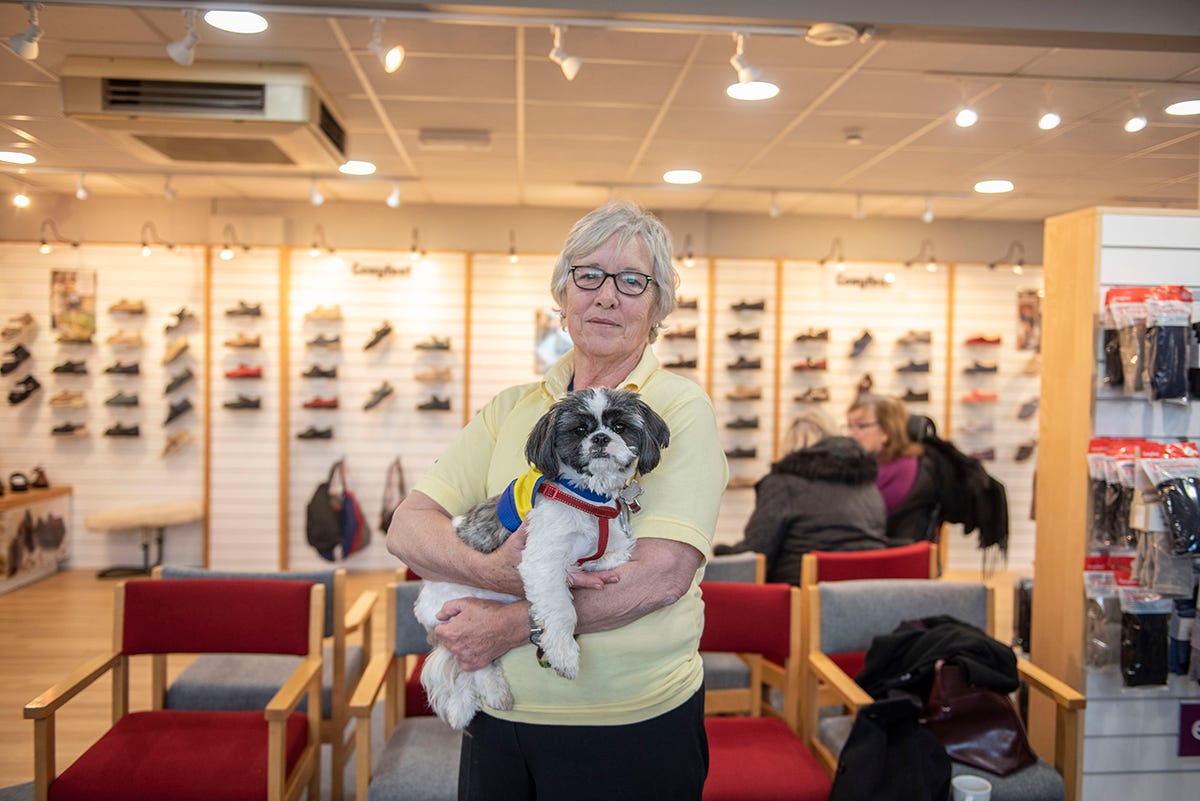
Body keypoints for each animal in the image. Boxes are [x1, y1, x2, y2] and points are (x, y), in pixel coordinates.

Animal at [415, 388, 672, 733]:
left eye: (620, 427)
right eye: (579, 430)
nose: (600, 438)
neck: (587, 498)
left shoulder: (617, 541)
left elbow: (614, 555)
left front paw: (590, 565)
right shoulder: (542, 560)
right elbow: (562, 610)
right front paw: (564, 656)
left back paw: (491, 691)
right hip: (459, 608)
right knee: (474, 661)